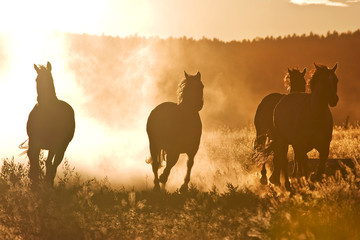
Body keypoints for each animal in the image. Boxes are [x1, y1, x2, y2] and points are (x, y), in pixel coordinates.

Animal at [272, 62, 338, 190]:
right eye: (323, 81)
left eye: (336, 80)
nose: (334, 100)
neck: (315, 115)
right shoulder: (300, 145)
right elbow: (302, 163)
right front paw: (305, 181)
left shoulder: (324, 147)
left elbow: (320, 168)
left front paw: (314, 181)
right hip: (283, 140)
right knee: (284, 160)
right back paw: (287, 184)